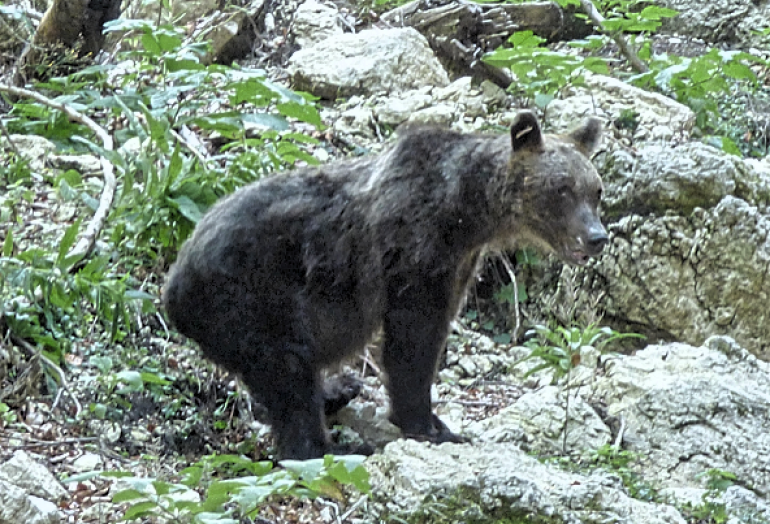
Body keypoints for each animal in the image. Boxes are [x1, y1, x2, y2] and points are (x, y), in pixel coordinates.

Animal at [162, 110, 608, 458]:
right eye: (562, 189)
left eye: (596, 190)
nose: (597, 237)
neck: (466, 213)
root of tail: (172, 285)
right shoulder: (413, 249)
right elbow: (412, 341)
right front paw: (428, 424)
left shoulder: (457, 264)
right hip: (253, 296)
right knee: (286, 371)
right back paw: (332, 444)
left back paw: (337, 389)